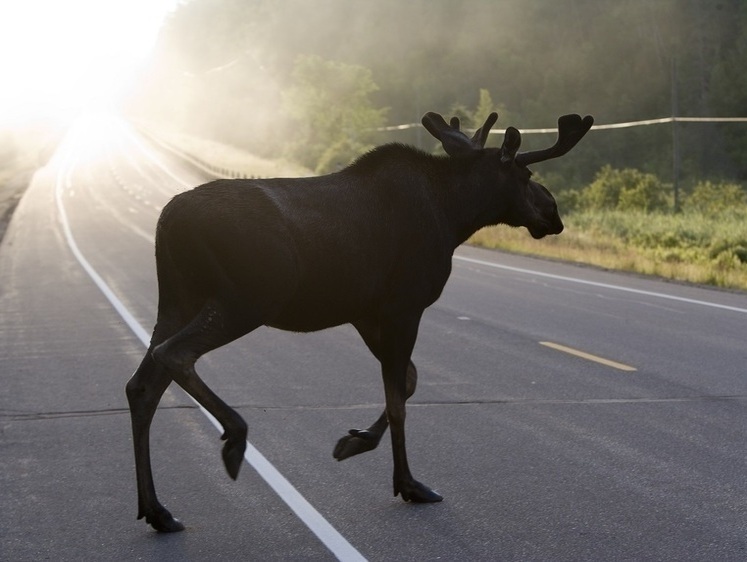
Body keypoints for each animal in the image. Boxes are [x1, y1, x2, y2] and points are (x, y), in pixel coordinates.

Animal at [129, 108, 596, 528]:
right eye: (526, 176)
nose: (554, 213)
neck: (455, 216)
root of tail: (166, 222)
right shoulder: (403, 306)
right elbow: (398, 401)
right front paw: (409, 484)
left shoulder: (368, 314)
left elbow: (408, 382)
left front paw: (354, 441)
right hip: (245, 299)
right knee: (174, 354)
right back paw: (234, 438)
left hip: (178, 300)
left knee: (142, 385)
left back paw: (157, 510)